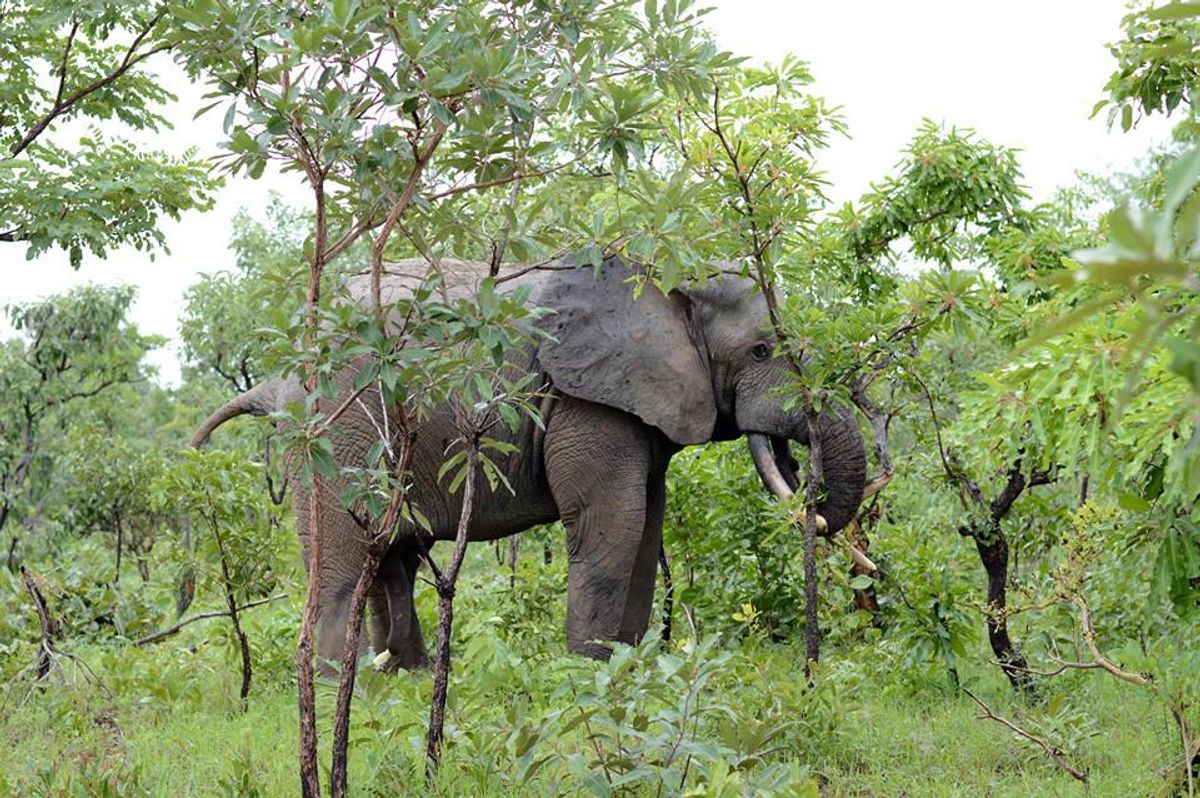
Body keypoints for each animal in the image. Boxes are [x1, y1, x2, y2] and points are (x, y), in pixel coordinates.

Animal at [191, 255, 867, 669]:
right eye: (761, 352)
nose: (806, 484)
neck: (666, 277)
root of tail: (277, 379)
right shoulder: (583, 400)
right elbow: (610, 520)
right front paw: (591, 675)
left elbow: (647, 522)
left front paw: (633, 668)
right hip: (335, 432)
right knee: (341, 557)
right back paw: (343, 683)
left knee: (392, 556)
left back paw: (406, 675)